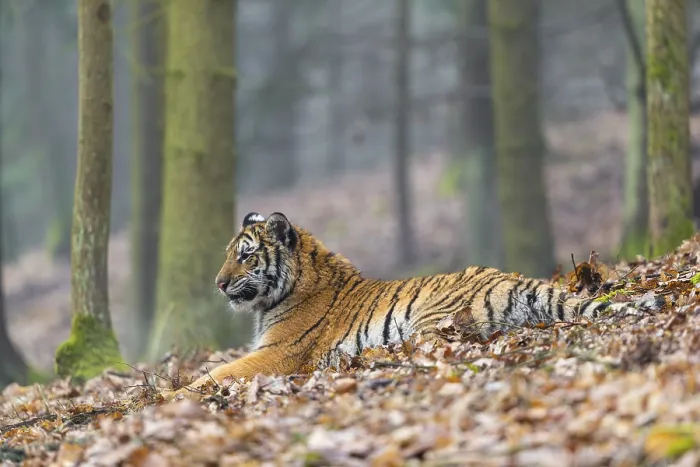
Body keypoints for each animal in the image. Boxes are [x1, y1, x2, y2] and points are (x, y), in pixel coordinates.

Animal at [162, 211, 631, 399]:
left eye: (245, 256)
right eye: (229, 254)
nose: (219, 283)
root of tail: (512, 278)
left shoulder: (279, 354)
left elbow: (218, 373)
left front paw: (170, 395)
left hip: (430, 322)